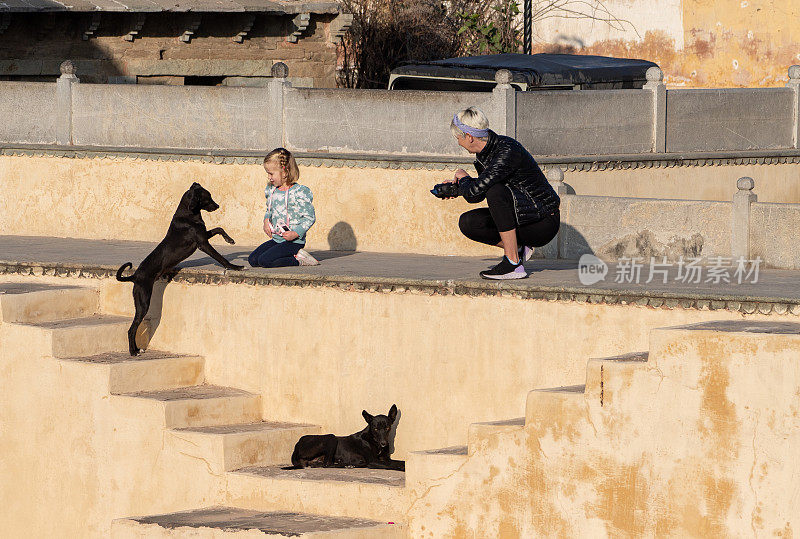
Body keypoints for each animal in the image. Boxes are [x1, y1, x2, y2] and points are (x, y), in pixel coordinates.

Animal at [114, 184, 242, 356]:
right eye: (208, 197)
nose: (217, 206)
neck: (187, 214)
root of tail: (135, 275)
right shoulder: (203, 243)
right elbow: (221, 257)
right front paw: (234, 266)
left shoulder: (205, 235)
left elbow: (218, 228)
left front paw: (230, 239)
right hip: (143, 301)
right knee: (132, 329)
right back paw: (133, 351)